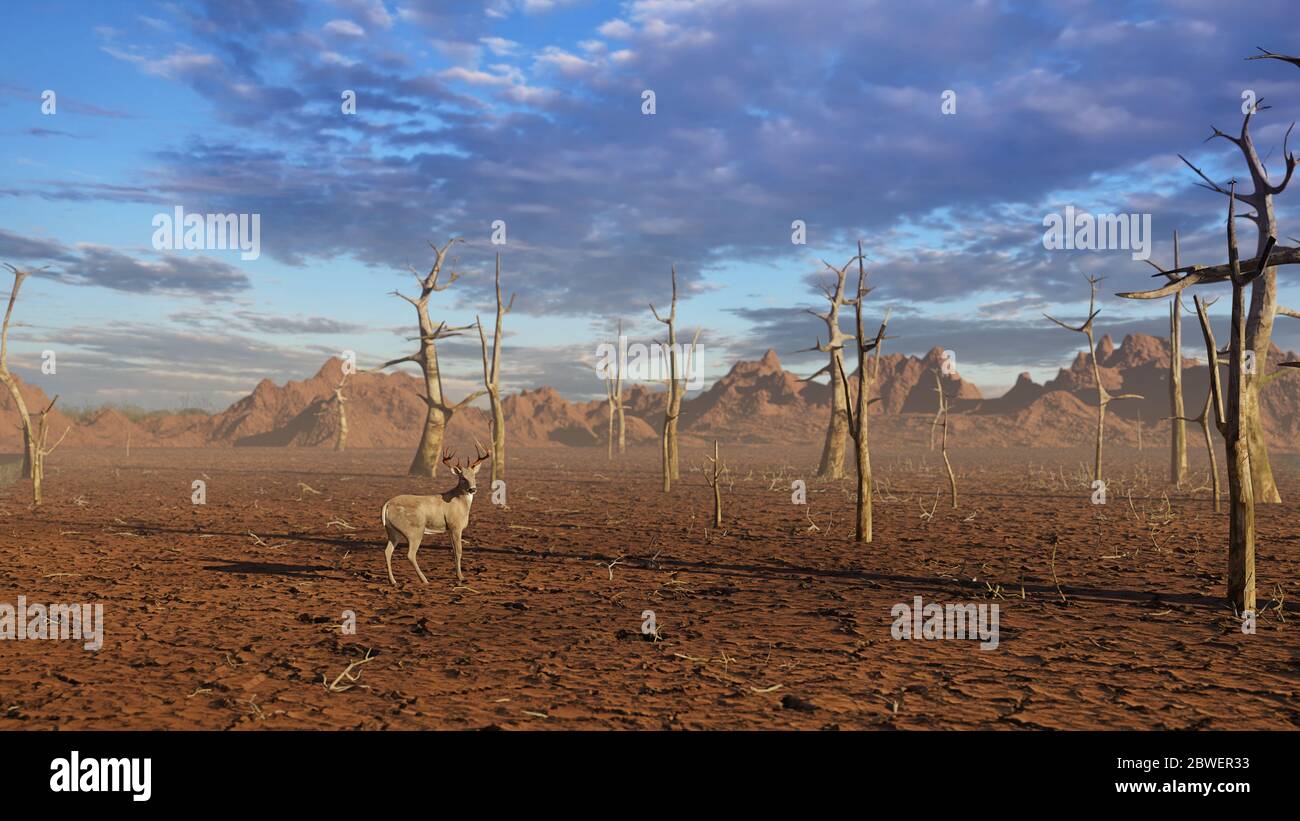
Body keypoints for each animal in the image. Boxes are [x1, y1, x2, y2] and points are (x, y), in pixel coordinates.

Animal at [384, 441, 491, 584]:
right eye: (462, 478)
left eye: (474, 476)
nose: (472, 489)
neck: (459, 502)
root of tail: (387, 505)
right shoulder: (455, 526)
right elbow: (459, 551)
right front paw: (461, 577)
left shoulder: (449, 529)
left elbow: (453, 551)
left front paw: (457, 575)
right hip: (414, 529)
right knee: (410, 554)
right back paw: (424, 580)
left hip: (392, 530)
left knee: (387, 551)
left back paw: (393, 581)